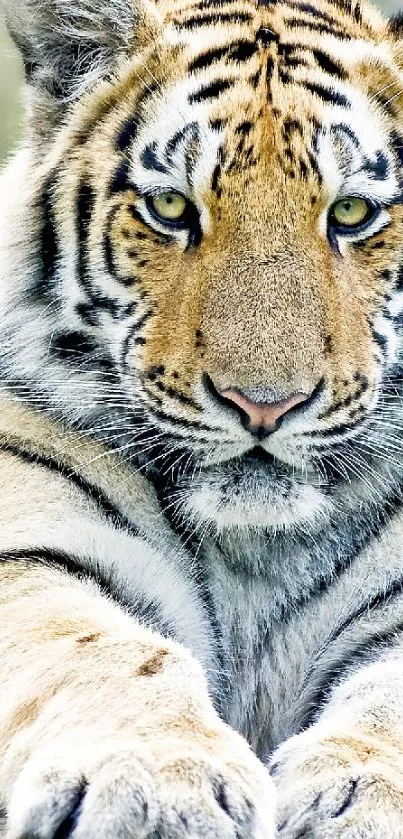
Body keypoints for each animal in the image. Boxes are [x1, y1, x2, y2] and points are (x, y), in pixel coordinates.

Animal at [0, 0, 403, 832]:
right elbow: (105, 649)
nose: (264, 404)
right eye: (170, 208)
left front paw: (360, 799)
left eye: (350, 212)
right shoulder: (32, 543)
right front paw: (159, 783)